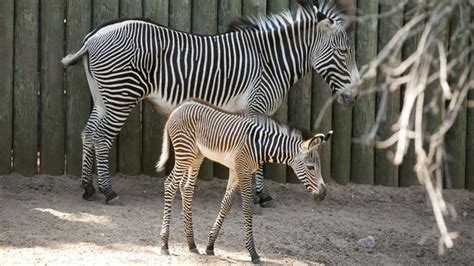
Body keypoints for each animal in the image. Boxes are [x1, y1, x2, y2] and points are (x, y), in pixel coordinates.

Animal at [61, 0, 358, 206]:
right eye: (343, 52)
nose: (354, 97)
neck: (271, 62)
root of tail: (94, 36)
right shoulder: (256, 109)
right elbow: (259, 155)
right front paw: (259, 196)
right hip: (120, 95)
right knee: (101, 137)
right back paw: (108, 191)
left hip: (104, 97)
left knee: (88, 133)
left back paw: (87, 188)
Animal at [157, 98, 332, 262]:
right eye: (311, 168)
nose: (323, 194)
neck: (260, 146)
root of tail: (179, 108)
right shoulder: (243, 171)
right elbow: (247, 207)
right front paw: (253, 253)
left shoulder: (236, 171)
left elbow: (226, 204)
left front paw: (210, 245)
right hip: (185, 152)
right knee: (170, 185)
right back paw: (164, 244)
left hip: (196, 155)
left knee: (185, 187)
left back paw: (191, 243)